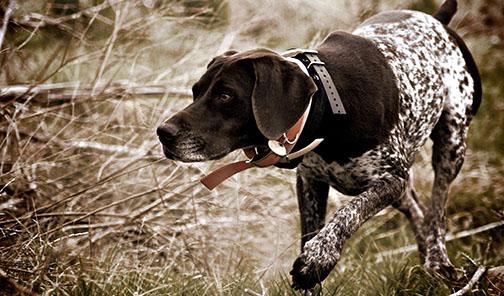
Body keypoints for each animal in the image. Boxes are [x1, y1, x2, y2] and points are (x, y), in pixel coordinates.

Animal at [157, 0, 480, 290]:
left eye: (225, 96)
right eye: (196, 91)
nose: (163, 132)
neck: (326, 107)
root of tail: (437, 19)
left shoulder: (390, 179)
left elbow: (347, 214)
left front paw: (318, 259)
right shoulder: (310, 181)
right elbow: (311, 231)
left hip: (452, 143)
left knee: (436, 209)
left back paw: (438, 261)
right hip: (405, 184)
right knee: (418, 210)